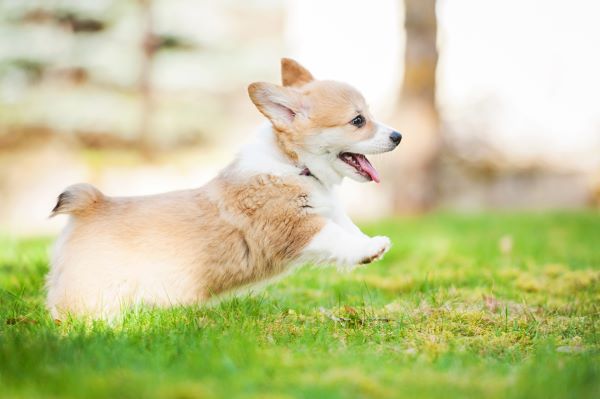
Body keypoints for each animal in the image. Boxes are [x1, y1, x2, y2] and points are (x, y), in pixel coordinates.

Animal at [47, 59, 400, 320]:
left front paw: (369, 243)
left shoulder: (329, 211)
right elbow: (336, 236)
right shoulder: (294, 226)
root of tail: (93, 203)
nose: (398, 136)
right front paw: (372, 249)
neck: (295, 163)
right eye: (358, 120)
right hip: (92, 292)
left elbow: (349, 230)